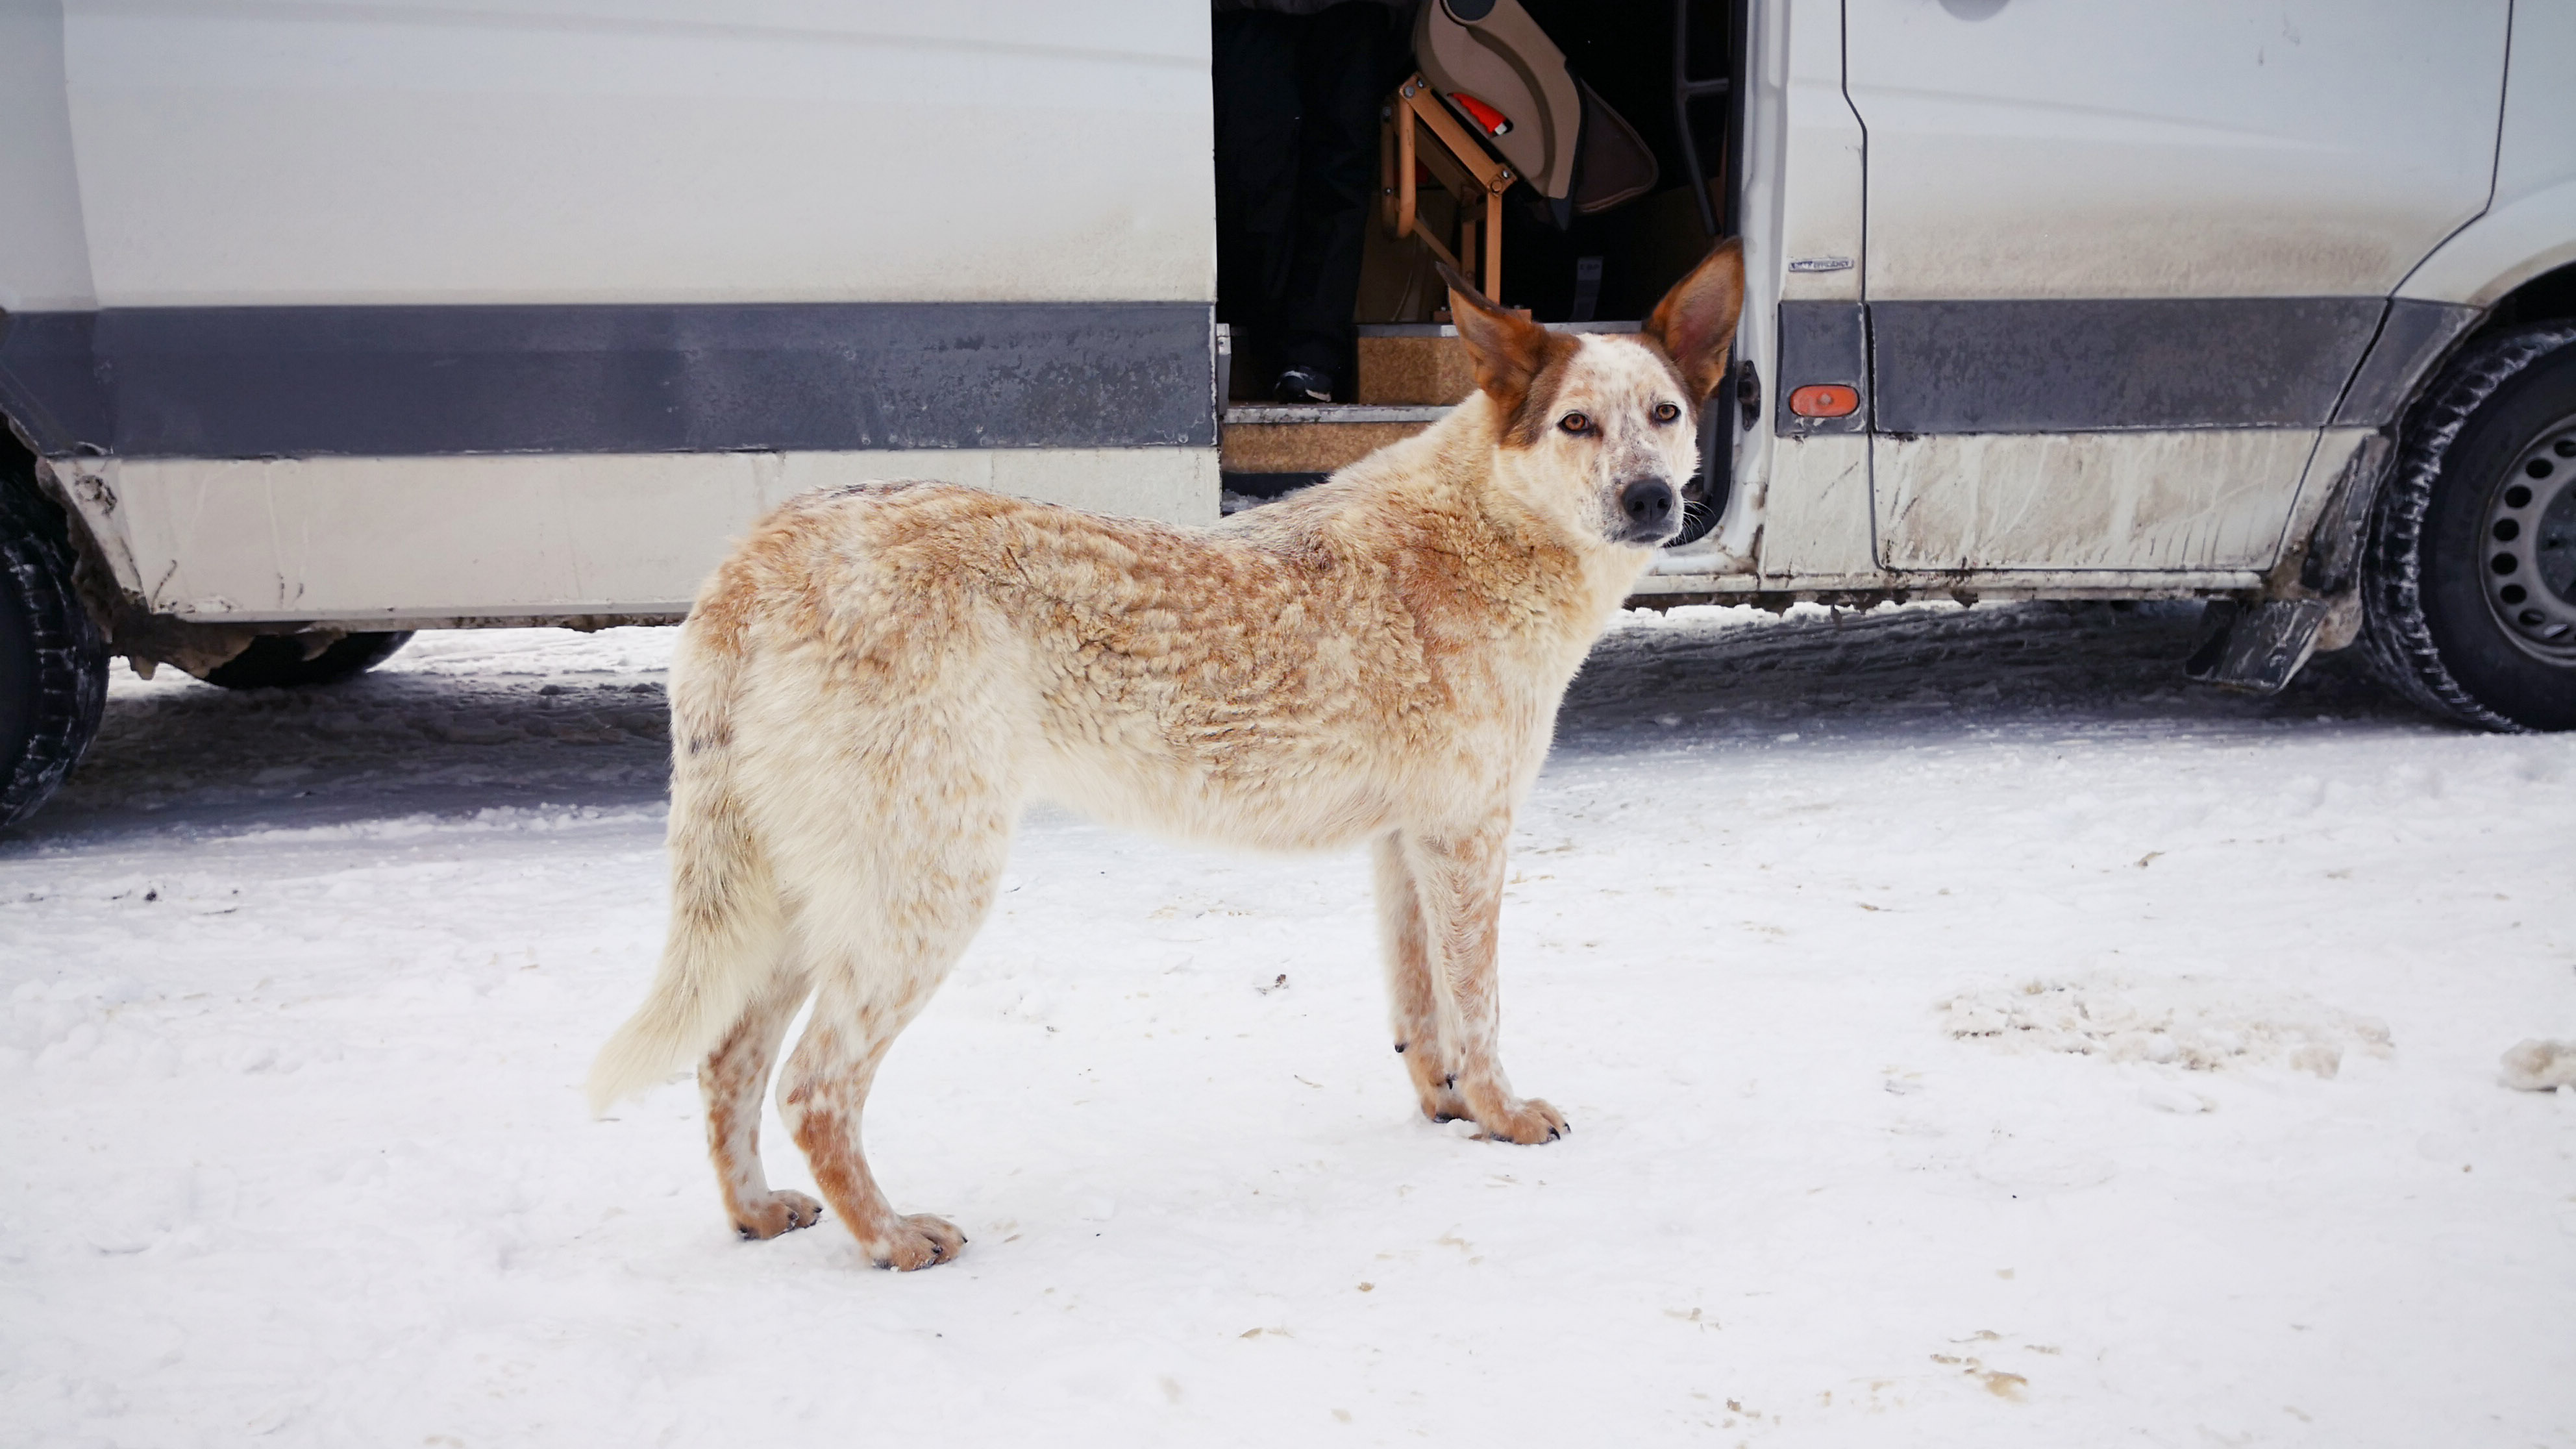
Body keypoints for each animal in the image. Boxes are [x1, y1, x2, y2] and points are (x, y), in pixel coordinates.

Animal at [589, 245, 1741, 1263]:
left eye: (1666, 416)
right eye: (1577, 423)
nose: (1651, 499)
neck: (1488, 530)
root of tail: (755, 556)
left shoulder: (1408, 844)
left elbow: (1423, 1016)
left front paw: (1446, 1108)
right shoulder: (1469, 836)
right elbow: (1482, 1011)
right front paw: (1503, 1116)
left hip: (798, 898)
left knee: (727, 1064)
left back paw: (755, 1213)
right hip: (923, 888)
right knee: (814, 1087)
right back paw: (890, 1237)